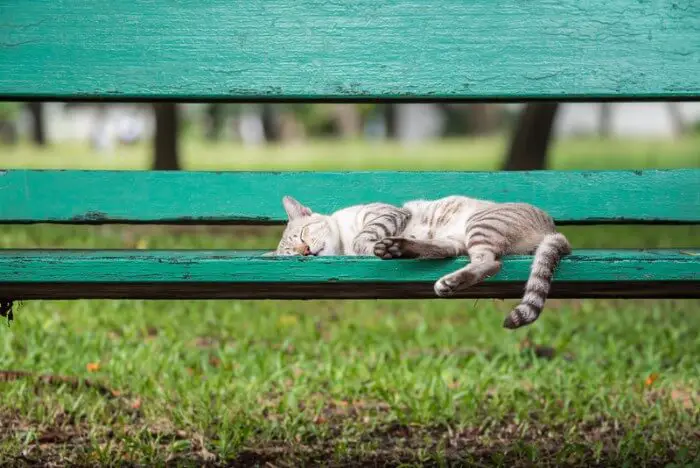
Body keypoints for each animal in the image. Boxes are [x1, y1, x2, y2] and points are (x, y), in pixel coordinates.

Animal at [270, 195, 572, 330]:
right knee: (459, 255)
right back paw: (402, 250)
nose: (305, 251)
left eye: (302, 234)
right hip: (460, 238)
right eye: (293, 253)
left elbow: (363, 236)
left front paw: (367, 245)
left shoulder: (386, 214)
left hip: (480, 224)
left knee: (490, 263)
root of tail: (552, 229)